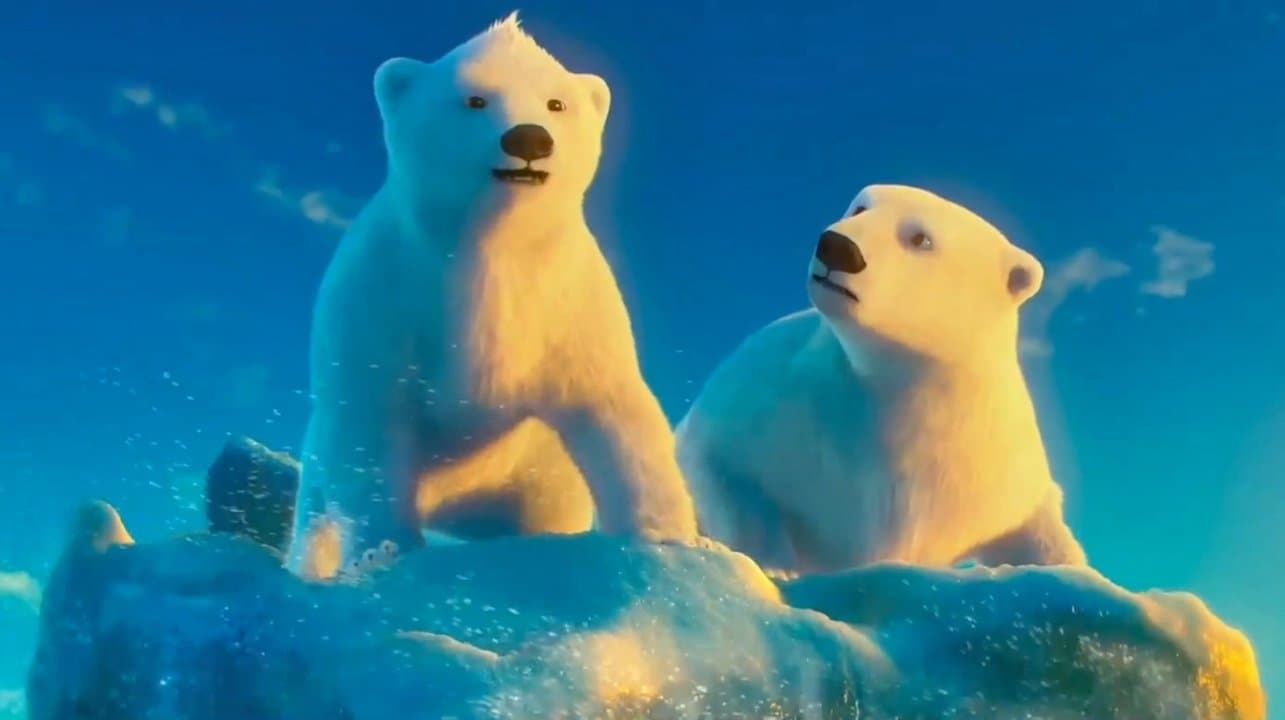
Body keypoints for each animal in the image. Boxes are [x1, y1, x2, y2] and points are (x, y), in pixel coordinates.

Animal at [285, 12, 698, 580]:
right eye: (474, 99)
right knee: (315, 518)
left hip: (539, 484)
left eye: (556, 103)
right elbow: (369, 428)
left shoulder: (567, 309)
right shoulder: (380, 302)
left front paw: (668, 541)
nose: (529, 138)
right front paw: (383, 551)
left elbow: (615, 409)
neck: (490, 253)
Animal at [674, 184, 1088, 576]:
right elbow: (721, 463)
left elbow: (1037, 530)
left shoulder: (988, 469)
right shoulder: (772, 401)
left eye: (920, 238)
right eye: (861, 207)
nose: (837, 247)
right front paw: (773, 563)